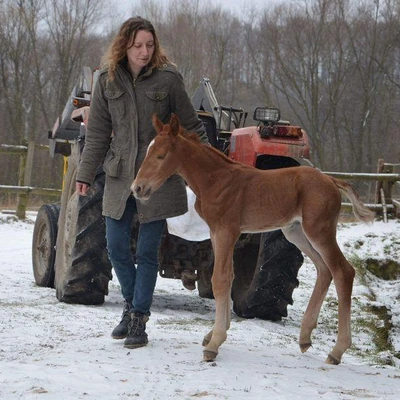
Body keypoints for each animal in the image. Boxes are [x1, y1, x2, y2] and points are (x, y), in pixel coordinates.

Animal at [132, 113, 376, 366]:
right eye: (148, 151)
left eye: (161, 155)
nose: (137, 188)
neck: (216, 179)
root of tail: (331, 180)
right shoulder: (216, 232)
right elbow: (228, 277)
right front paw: (214, 334)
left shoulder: (227, 231)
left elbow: (220, 280)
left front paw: (214, 343)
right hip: (296, 232)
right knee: (324, 270)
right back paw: (305, 337)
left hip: (320, 230)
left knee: (343, 271)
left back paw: (337, 350)